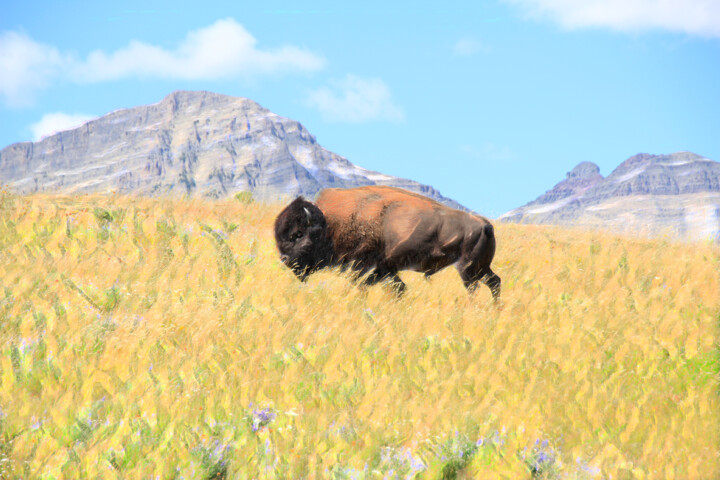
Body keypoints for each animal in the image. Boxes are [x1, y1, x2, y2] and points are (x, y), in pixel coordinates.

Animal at [274, 185, 500, 300]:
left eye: (297, 234)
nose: (284, 259)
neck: (331, 223)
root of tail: (484, 225)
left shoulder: (364, 266)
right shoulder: (386, 269)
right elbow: (397, 289)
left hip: (468, 270)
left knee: (474, 290)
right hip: (481, 268)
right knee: (495, 282)